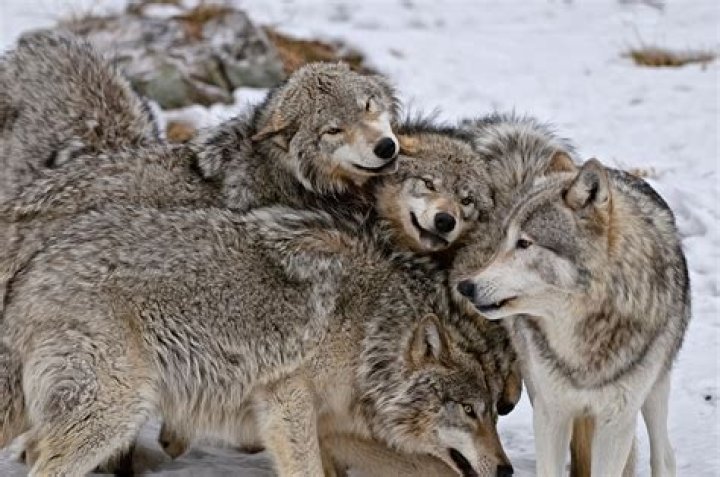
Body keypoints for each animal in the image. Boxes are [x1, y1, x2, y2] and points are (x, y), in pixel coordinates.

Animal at [0, 205, 513, 477]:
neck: (368, 333)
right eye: (469, 411)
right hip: (114, 414)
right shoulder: (287, 400)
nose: (507, 469)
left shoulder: (335, 428)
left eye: (492, 414)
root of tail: (27, 276)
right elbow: (306, 469)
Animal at [454, 159, 690, 476]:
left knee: (664, 454)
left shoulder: (616, 422)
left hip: (654, 390)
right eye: (503, 240)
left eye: (524, 243)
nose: (465, 287)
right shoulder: (551, 413)